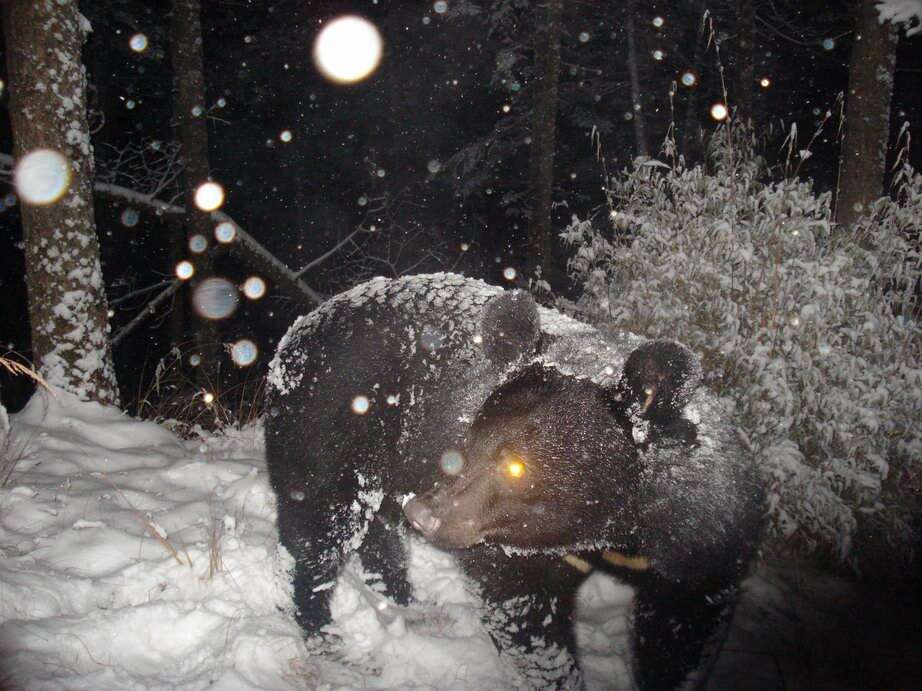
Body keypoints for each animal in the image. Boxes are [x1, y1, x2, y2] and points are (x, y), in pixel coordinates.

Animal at [264, 274, 760, 688]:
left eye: (517, 465)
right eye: (470, 438)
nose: (424, 514)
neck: (613, 529)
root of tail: (302, 326)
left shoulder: (702, 542)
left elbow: (681, 630)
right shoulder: (514, 547)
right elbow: (524, 613)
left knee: (376, 535)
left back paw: (414, 607)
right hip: (325, 430)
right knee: (320, 530)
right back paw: (329, 642)